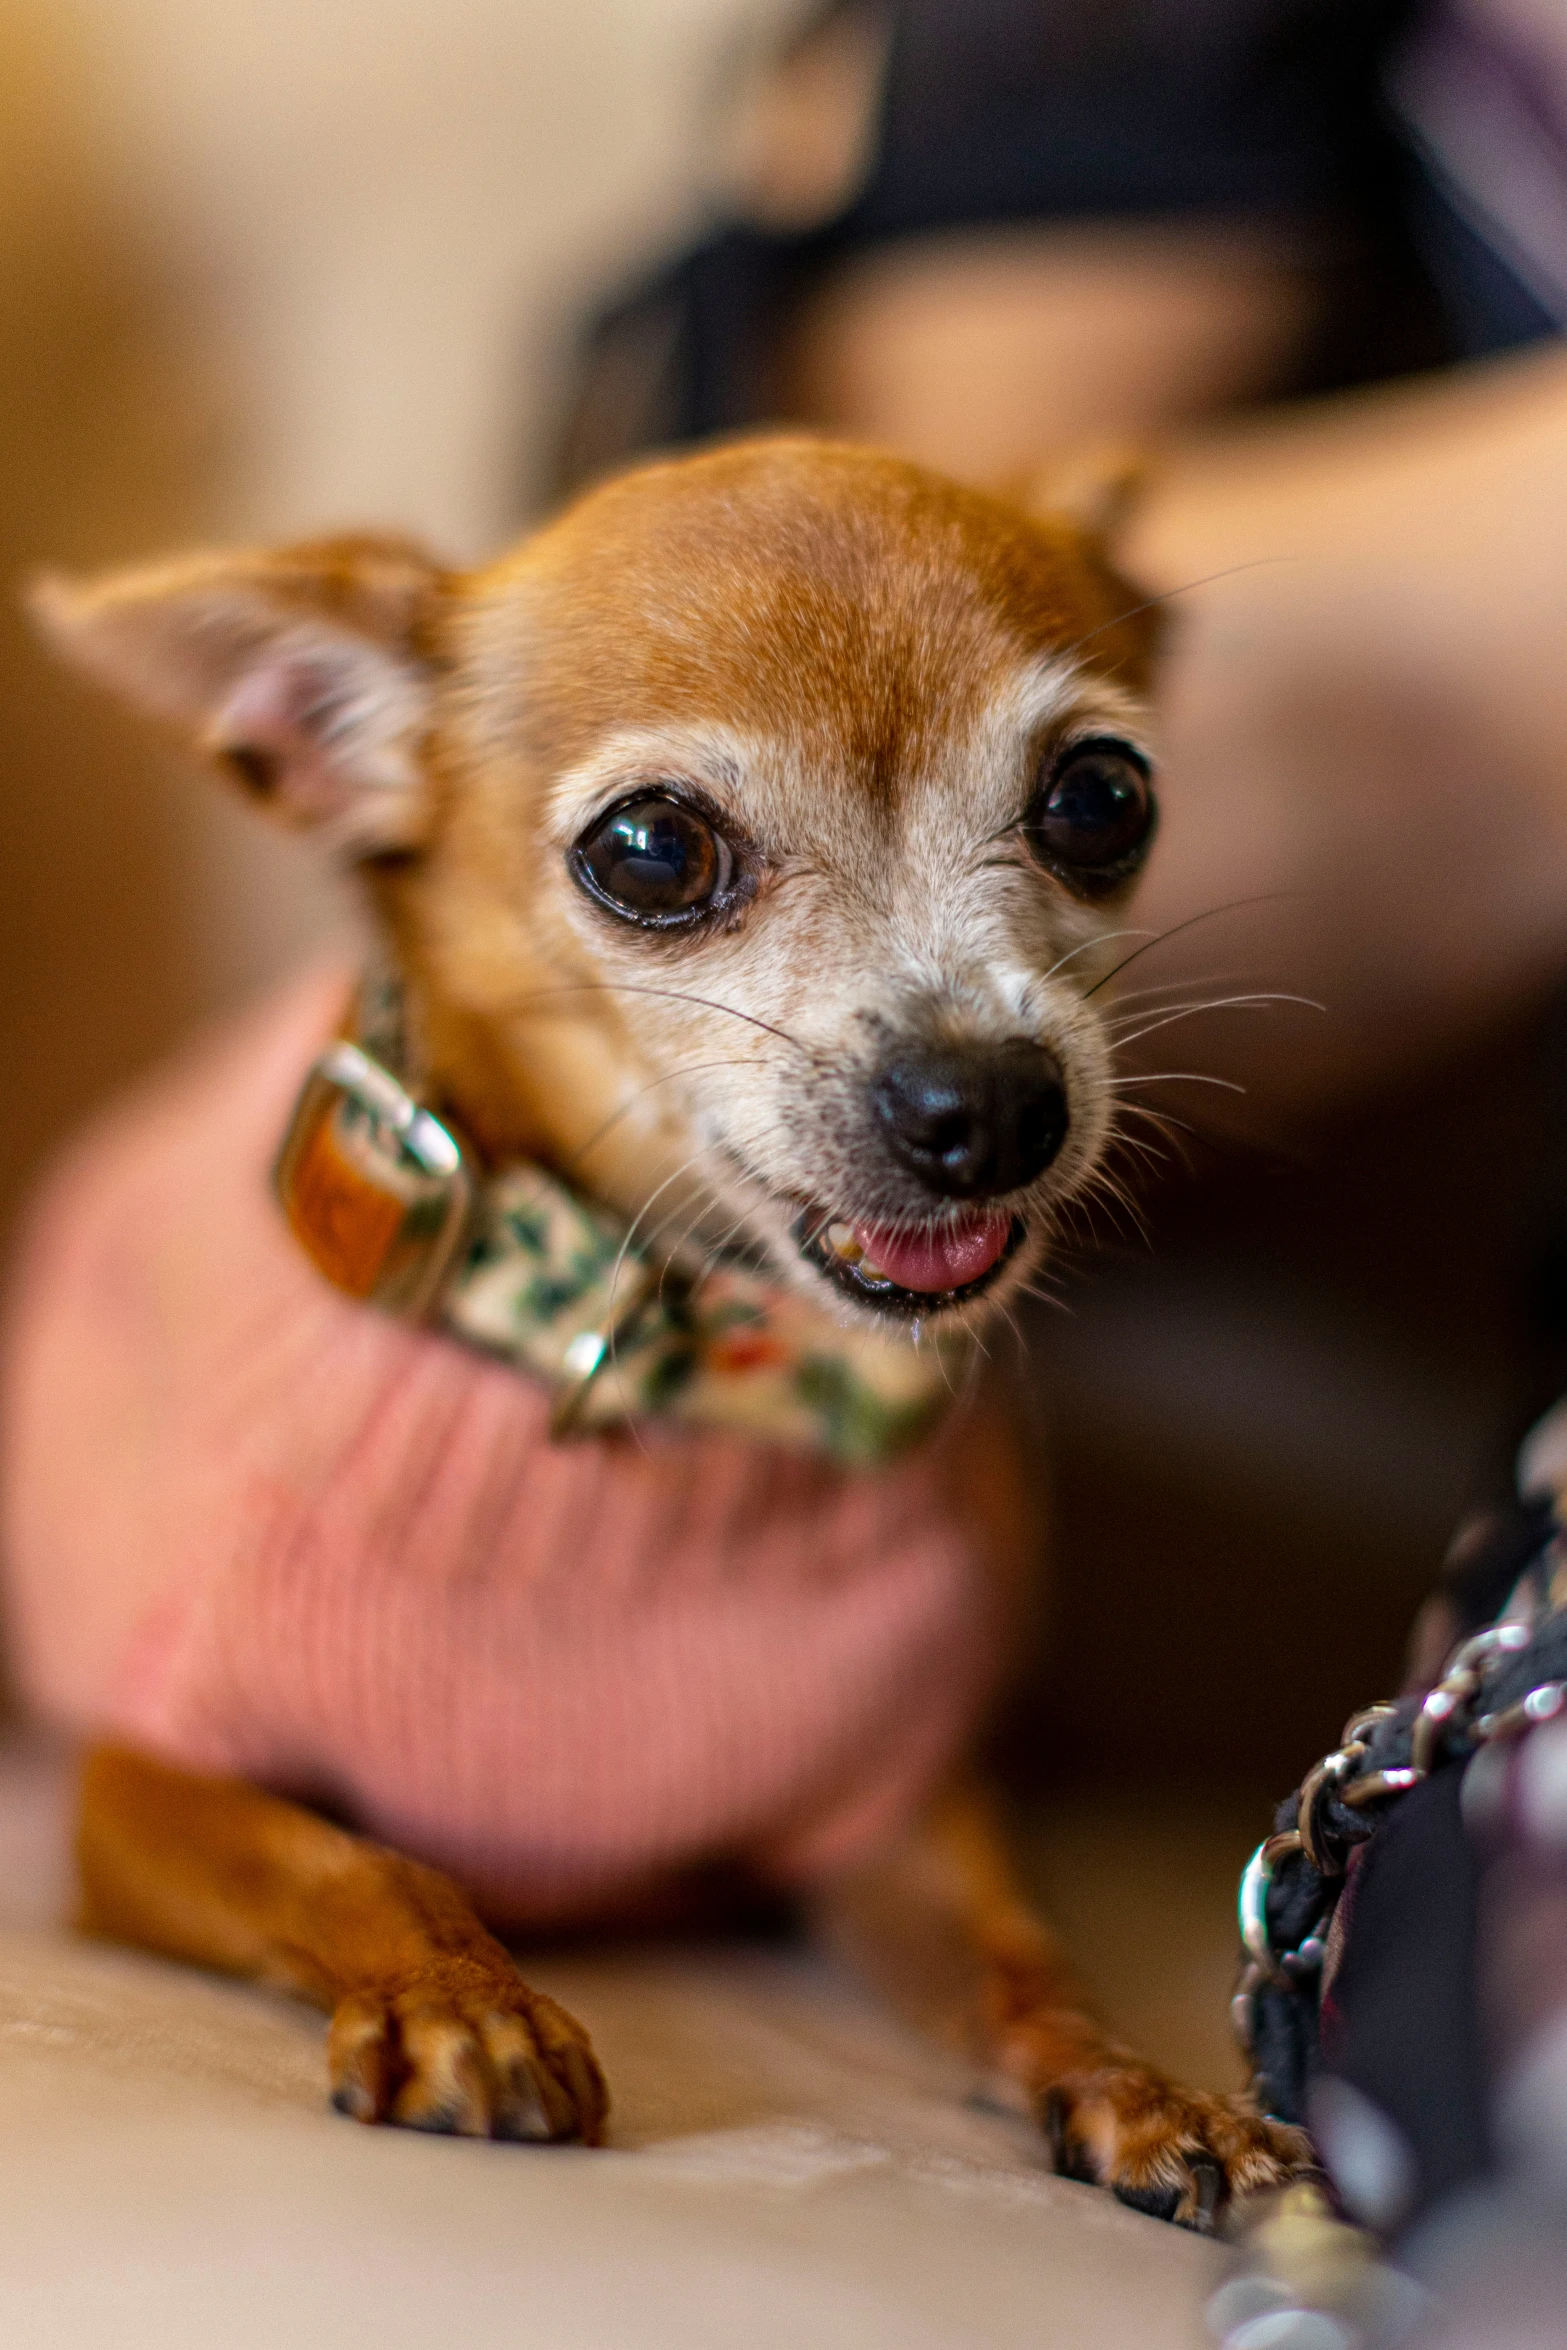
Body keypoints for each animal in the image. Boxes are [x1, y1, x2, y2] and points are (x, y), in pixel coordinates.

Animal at [3, 437, 1315, 2218]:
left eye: (1101, 800)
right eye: (648, 851)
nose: (988, 1102)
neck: (645, 1359)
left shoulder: (897, 1824)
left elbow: (1024, 1961)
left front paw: (1133, 2081)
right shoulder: (140, 1784)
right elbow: (352, 1857)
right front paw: (465, 1995)